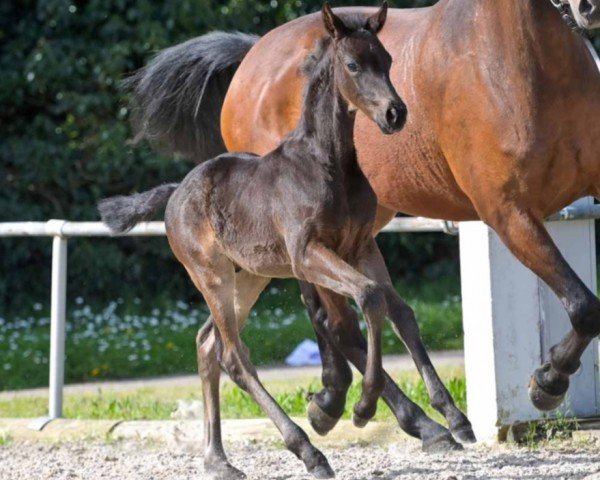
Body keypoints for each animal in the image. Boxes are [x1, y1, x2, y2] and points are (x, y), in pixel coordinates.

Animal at [101, 2, 410, 476]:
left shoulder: (358, 247)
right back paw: (308, 452)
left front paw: (364, 406)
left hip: (248, 278)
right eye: (354, 65)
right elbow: (370, 296)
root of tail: (175, 191)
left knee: (207, 345)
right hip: (211, 276)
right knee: (234, 356)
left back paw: (218, 460)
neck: (329, 165)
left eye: (388, 60)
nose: (396, 113)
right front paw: (361, 409)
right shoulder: (308, 255)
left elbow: (380, 301)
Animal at [127, 0, 600, 450]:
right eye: (354, 66)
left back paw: (367, 408)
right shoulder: (507, 211)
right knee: (333, 322)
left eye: (388, 61)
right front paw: (548, 382)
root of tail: (254, 52)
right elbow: (583, 305)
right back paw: (385, 415)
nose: (588, 9)